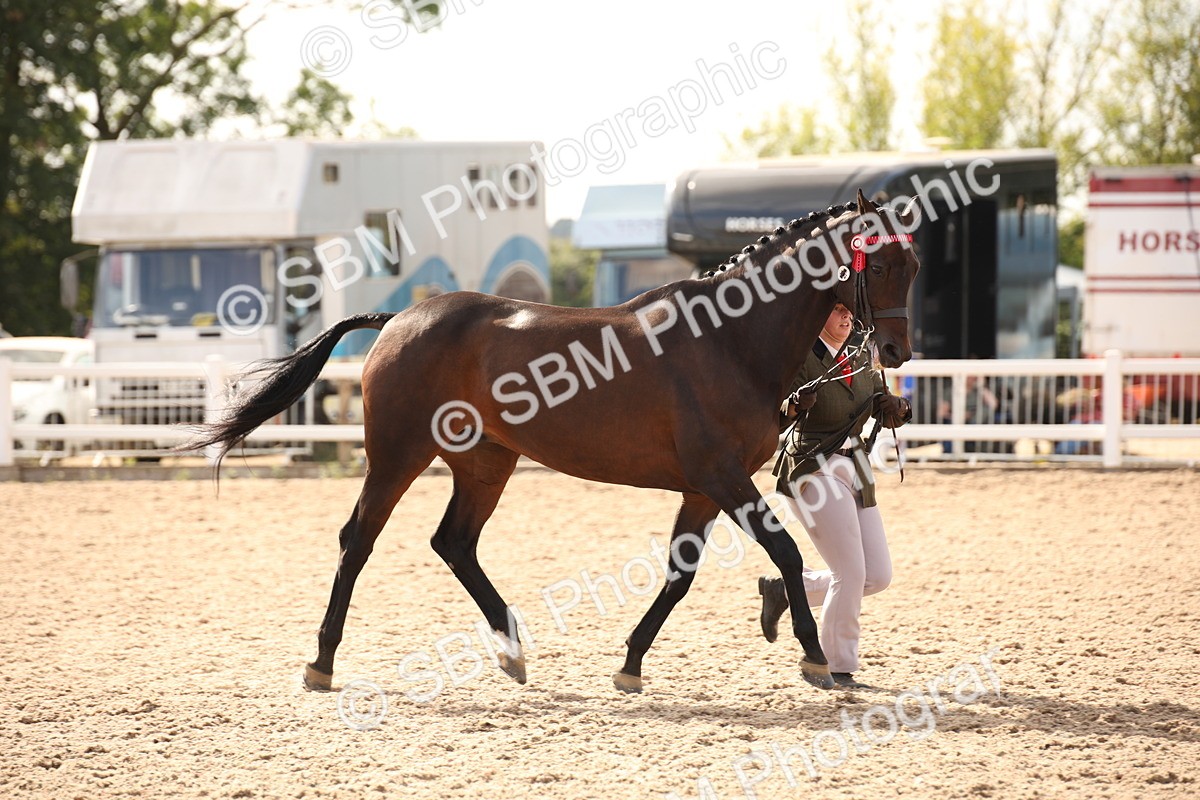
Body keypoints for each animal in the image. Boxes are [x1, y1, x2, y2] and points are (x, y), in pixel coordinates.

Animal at [185, 189, 921, 695]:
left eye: (911, 262)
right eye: (881, 264)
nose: (896, 352)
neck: (728, 339)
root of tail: (399, 318)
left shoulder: (704, 488)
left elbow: (680, 575)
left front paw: (630, 664)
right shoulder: (722, 477)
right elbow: (787, 553)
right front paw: (815, 656)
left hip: (487, 463)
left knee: (453, 543)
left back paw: (511, 651)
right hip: (399, 456)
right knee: (358, 541)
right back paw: (322, 662)